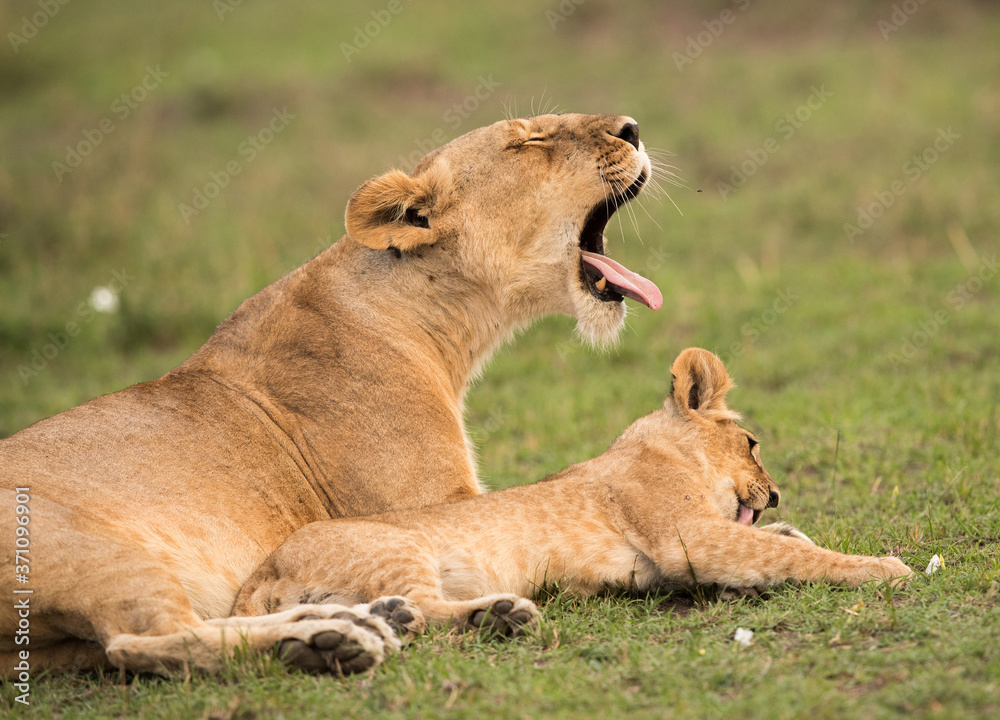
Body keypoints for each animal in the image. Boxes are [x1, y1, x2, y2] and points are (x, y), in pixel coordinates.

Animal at [0, 113, 663, 677]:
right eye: (527, 141)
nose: (633, 127)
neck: (445, 320)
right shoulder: (437, 507)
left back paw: (354, 621)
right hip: (98, 548)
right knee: (144, 641)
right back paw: (334, 639)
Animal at [232, 348, 912, 646]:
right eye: (751, 444)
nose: (775, 495)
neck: (658, 449)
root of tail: (263, 571)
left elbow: (777, 548)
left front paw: (790, 529)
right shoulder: (687, 541)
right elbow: (793, 557)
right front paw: (886, 568)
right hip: (394, 549)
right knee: (423, 608)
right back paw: (498, 615)